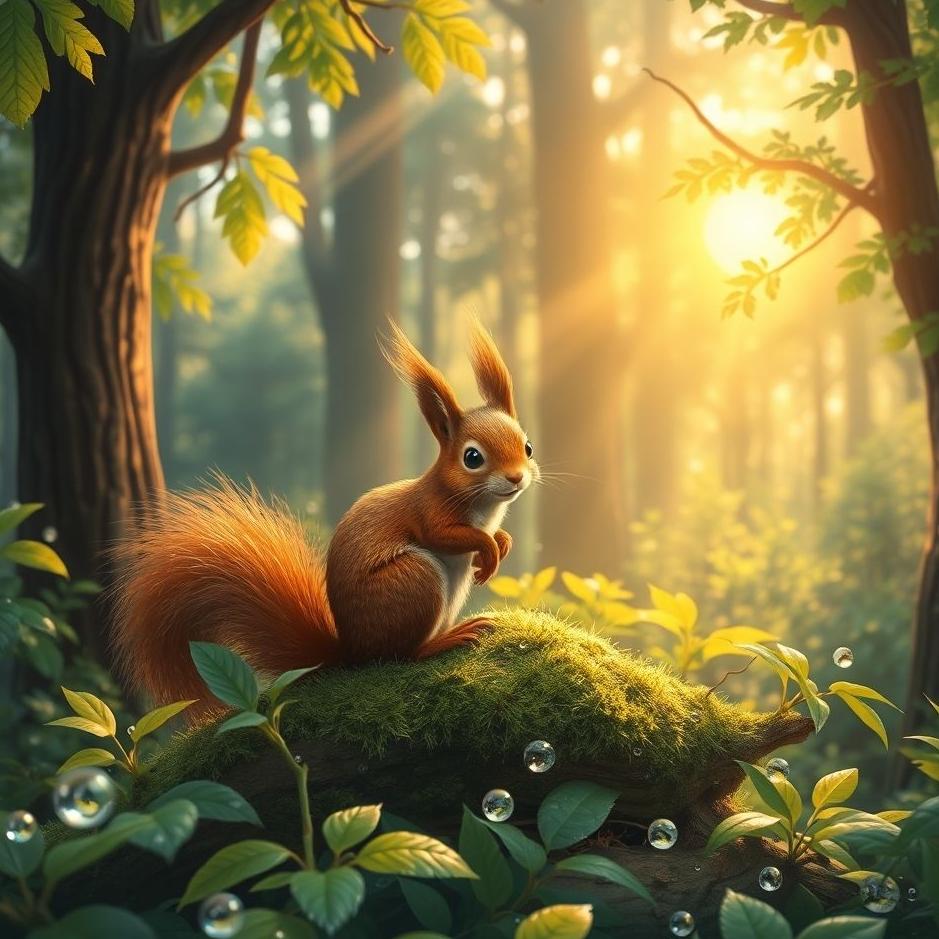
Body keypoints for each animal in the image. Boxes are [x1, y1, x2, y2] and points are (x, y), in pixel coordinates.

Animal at [111, 318, 539, 709]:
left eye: (528, 446)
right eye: (472, 458)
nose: (517, 477)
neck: (485, 507)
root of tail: (349, 650)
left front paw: (501, 544)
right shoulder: (429, 509)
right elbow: (443, 534)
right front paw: (488, 549)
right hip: (413, 579)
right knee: (399, 655)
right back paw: (448, 639)